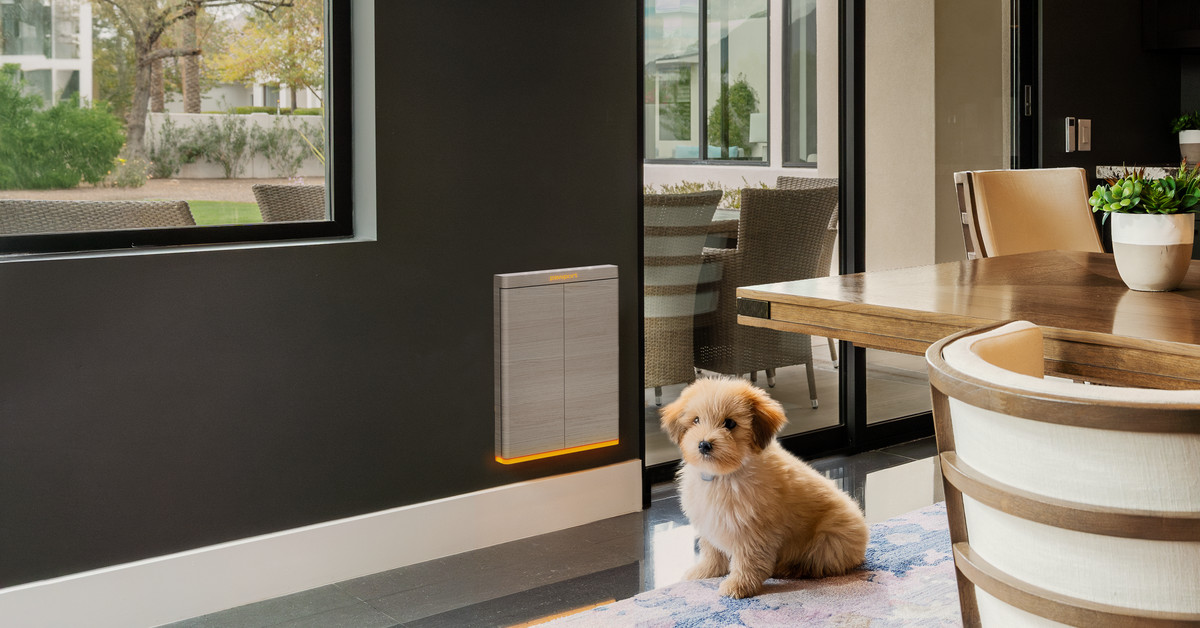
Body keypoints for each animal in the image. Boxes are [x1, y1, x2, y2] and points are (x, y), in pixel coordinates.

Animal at [662, 379, 868, 600]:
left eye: (730, 423)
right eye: (696, 420)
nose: (704, 444)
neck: (723, 476)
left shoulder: (752, 529)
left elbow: (747, 559)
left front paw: (738, 585)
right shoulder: (710, 520)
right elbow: (711, 551)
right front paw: (704, 572)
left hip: (830, 538)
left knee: (821, 564)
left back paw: (790, 568)